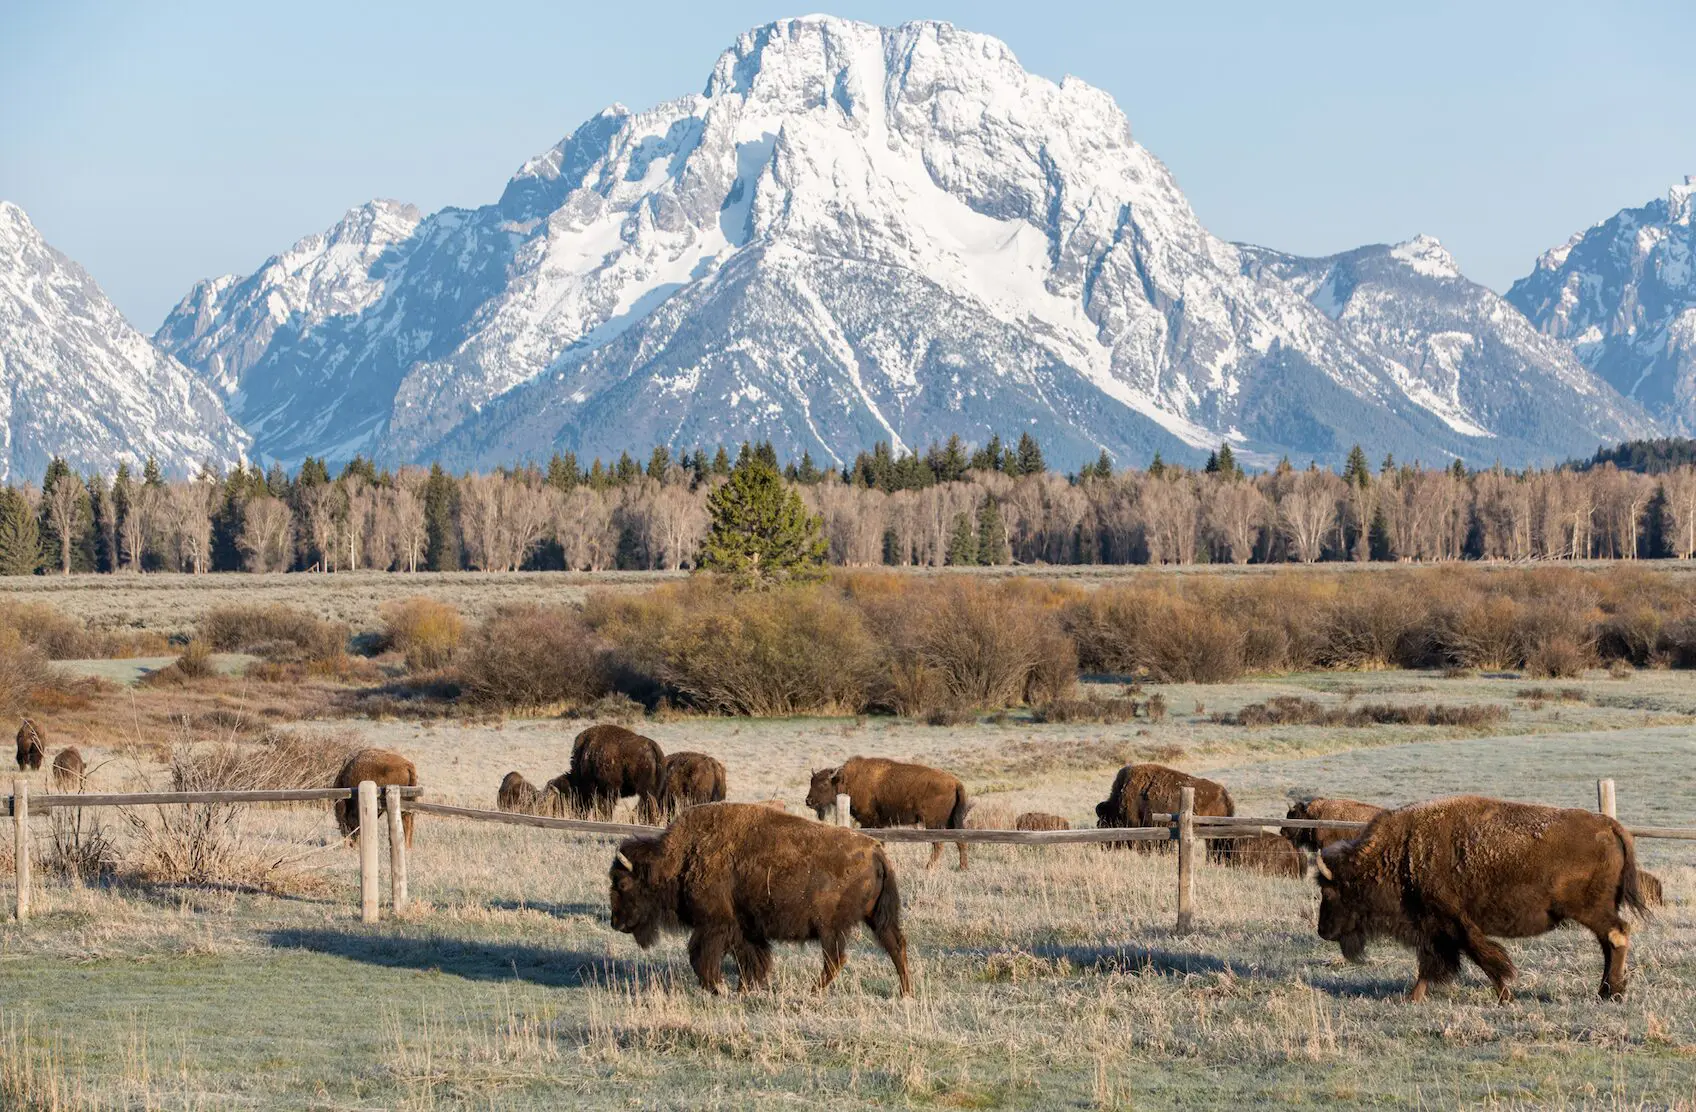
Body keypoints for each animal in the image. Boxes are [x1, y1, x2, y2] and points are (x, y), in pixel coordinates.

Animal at [609, 802, 911, 996]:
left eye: (622, 883)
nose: (616, 923)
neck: (679, 858)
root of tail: (875, 850)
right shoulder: (745, 928)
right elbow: (752, 958)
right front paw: (743, 989)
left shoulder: (715, 924)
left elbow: (701, 957)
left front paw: (719, 988)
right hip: (876, 918)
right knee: (895, 947)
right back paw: (905, 992)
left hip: (830, 928)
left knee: (836, 959)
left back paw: (812, 991)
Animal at [807, 756, 969, 870]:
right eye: (811, 782)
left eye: (824, 784)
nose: (808, 801)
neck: (847, 780)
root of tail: (956, 783)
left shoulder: (870, 822)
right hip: (951, 821)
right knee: (960, 841)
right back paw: (962, 868)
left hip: (934, 823)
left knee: (939, 844)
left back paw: (929, 867)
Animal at [1315, 795, 1652, 1002]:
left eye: (1329, 891)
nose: (1322, 931)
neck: (1404, 853)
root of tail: (1609, 825)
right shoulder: (1433, 927)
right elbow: (1432, 963)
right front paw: (1414, 997)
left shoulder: (1451, 922)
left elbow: (1483, 957)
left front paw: (1505, 996)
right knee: (1609, 941)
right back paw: (1607, 990)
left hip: (1590, 910)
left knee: (1617, 934)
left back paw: (1611, 992)